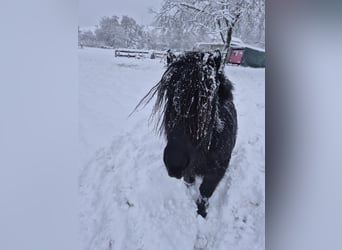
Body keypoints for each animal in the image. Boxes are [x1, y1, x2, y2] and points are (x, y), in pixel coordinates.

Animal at [134, 50, 238, 217]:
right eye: (169, 97)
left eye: (206, 101)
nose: (174, 164)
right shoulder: (189, 170)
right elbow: (190, 181)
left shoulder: (217, 171)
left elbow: (205, 191)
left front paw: (202, 212)